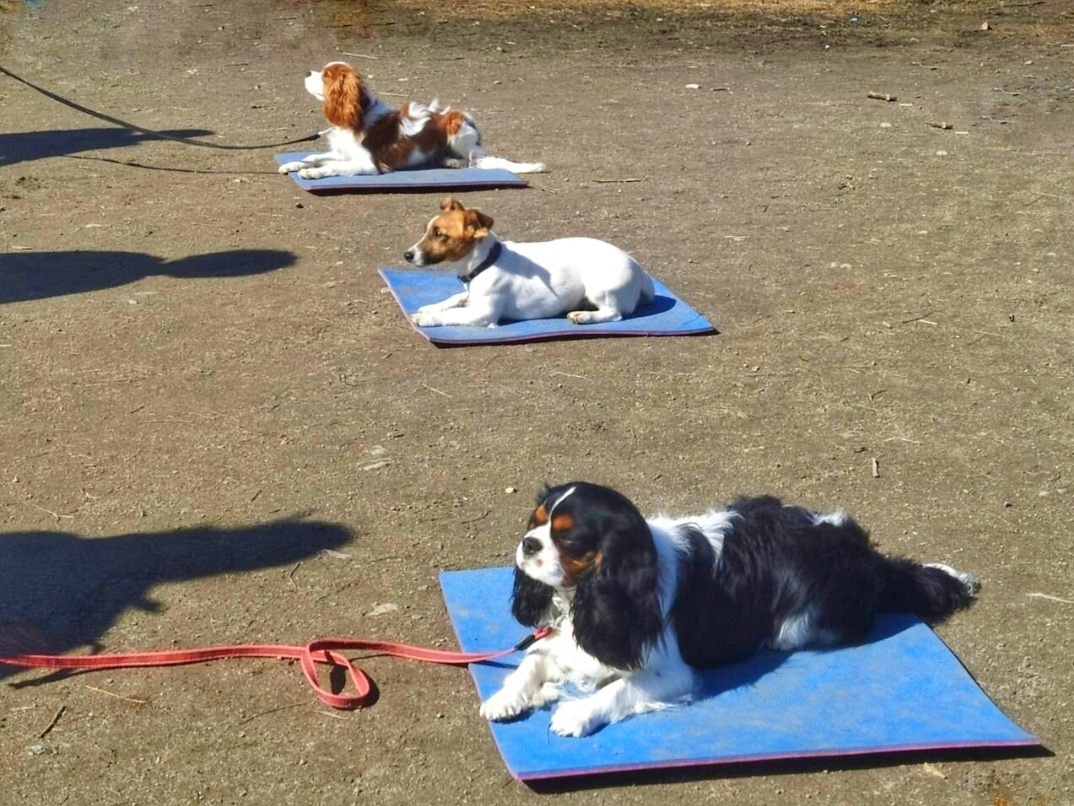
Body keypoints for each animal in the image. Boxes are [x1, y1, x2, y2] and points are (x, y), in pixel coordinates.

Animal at [279, 61, 545, 179]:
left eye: (325, 75)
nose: (306, 71)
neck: (358, 114)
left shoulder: (369, 164)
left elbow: (332, 166)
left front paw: (312, 173)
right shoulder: (343, 153)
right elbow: (315, 157)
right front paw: (294, 164)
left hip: (457, 127)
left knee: (473, 161)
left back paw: (455, 161)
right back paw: (448, 161)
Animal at [403, 198, 652, 328]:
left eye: (439, 234)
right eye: (427, 230)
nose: (407, 255)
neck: (486, 262)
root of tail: (640, 271)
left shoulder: (483, 313)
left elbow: (452, 314)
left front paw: (426, 318)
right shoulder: (471, 296)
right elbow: (455, 298)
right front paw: (432, 307)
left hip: (600, 288)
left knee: (614, 313)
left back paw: (584, 316)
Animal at [483, 483, 979, 743]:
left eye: (567, 538)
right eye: (535, 523)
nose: (527, 544)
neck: (587, 594)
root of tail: (863, 552)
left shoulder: (671, 673)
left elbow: (618, 690)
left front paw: (575, 713)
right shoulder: (564, 641)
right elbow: (530, 662)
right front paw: (508, 698)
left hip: (795, 625)